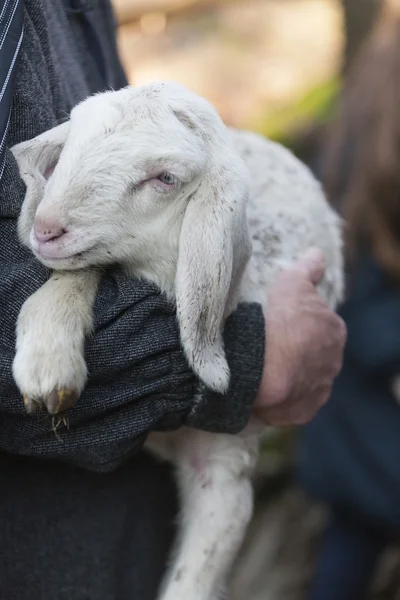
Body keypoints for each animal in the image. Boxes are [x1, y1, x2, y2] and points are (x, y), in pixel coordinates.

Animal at [10, 81, 344, 600]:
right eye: (71, 144)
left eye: (165, 178)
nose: (45, 228)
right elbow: (81, 270)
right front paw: (48, 363)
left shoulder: (225, 470)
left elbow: (193, 582)